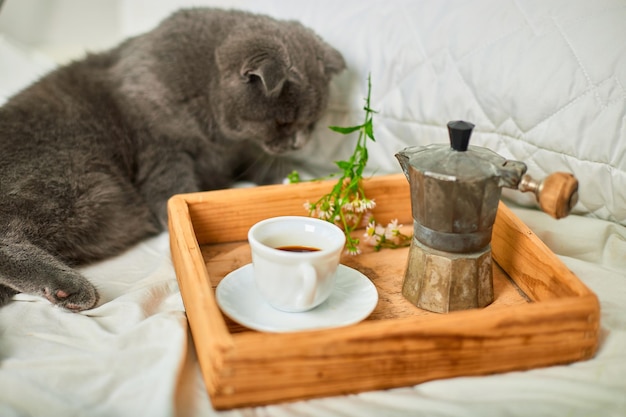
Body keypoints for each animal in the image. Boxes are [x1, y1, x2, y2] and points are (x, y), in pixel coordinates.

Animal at [0, 8, 342, 310]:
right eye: (284, 122)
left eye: (311, 122)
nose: (300, 142)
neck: (217, 134)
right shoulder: (163, 153)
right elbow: (176, 194)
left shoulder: (237, 153)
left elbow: (262, 163)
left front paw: (301, 179)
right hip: (72, 182)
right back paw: (68, 288)